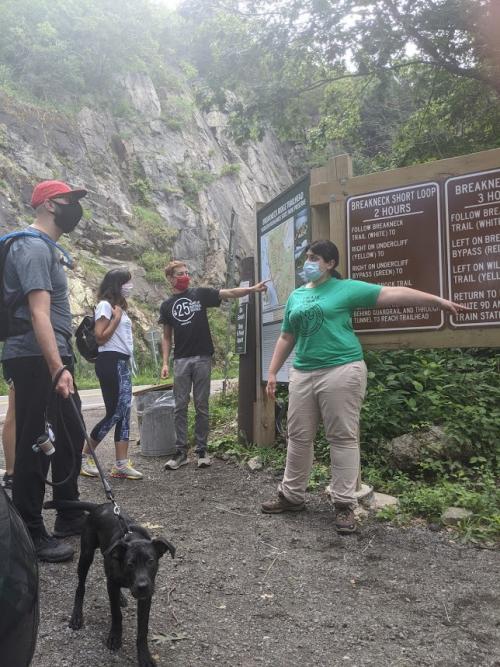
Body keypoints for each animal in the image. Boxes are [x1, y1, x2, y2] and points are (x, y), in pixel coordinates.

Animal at [44, 500, 176, 667]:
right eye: (130, 564)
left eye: (151, 561)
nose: (142, 587)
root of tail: (101, 505)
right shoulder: (113, 585)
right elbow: (116, 613)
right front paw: (115, 636)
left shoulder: (146, 596)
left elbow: (142, 628)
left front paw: (144, 656)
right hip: (86, 555)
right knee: (80, 587)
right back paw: (77, 616)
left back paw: (120, 598)